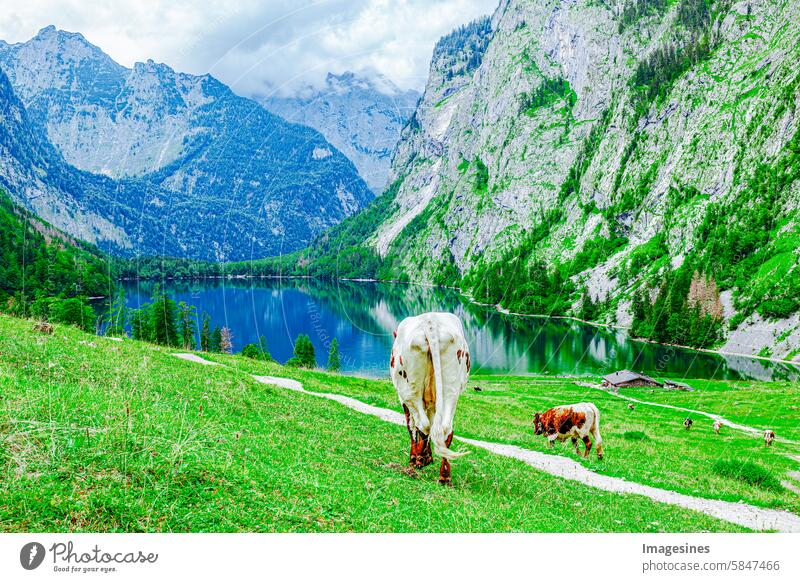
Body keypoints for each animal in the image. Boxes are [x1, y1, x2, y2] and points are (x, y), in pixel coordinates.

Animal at [390, 312, 472, 486]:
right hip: (451, 390)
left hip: (409, 390)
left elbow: (411, 426)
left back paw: (418, 461)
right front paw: (426, 456)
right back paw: (445, 476)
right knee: (445, 428)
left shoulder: (403, 399)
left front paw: (417, 457)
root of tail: (430, 322)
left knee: (423, 424)